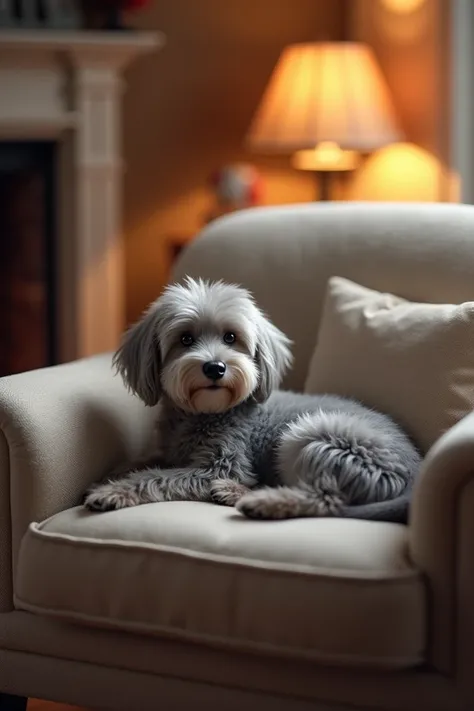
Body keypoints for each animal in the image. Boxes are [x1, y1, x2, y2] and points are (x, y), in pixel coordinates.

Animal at [83, 276, 420, 520]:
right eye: (185, 338)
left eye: (231, 337)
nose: (215, 367)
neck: (206, 413)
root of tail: (413, 471)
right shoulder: (170, 452)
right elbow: (145, 462)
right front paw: (112, 474)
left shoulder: (222, 464)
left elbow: (158, 477)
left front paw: (112, 491)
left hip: (310, 437)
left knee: (326, 498)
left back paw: (256, 500)